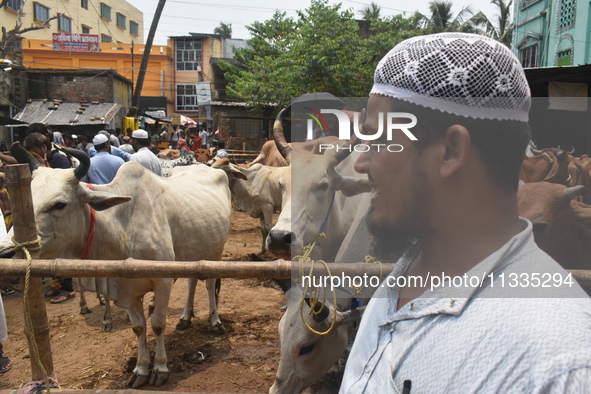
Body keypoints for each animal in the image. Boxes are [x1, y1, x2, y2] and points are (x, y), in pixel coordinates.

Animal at [2, 143, 234, 386]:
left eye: (59, 204)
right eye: (27, 200)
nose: (7, 252)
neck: (122, 226)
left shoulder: (162, 281)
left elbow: (157, 324)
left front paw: (160, 368)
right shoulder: (127, 287)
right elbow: (139, 327)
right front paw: (140, 369)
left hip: (215, 252)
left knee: (209, 285)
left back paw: (215, 321)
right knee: (192, 283)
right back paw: (185, 318)